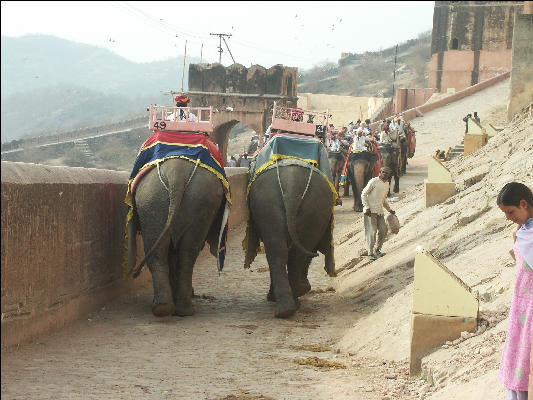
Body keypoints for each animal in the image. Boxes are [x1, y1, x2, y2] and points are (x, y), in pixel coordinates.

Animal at [127, 158, 227, 318]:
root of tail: (176, 174)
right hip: (161, 200)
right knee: (185, 253)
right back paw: (174, 308)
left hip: (158, 200)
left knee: (173, 252)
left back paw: (167, 308)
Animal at [244, 162, 334, 318]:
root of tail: (292, 183)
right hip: (295, 206)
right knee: (289, 252)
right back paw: (289, 305)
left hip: (273, 204)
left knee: (280, 251)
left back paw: (286, 306)